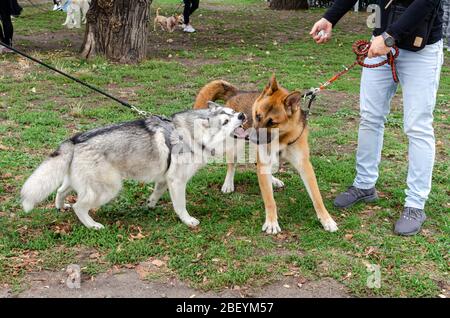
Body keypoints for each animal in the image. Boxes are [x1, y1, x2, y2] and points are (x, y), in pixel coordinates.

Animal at [21, 103, 246, 230]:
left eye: (233, 112)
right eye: (225, 122)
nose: (242, 115)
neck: (191, 134)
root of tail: (74, 139)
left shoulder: (165, 179)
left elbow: (156, 193)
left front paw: (150, 205)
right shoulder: (177, 181)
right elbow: (180, 206)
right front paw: (188, 221)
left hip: (77, 182)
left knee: (60, 191)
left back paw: (61, 207)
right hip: (109, 188)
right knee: (79, 206)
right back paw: (92, 225)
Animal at [193, 74, 338, 234]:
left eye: (272, 123)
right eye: (257, 116)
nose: (250, 137)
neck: (281, 138)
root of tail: (237, 92)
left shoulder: (304, 165)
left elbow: (317, 197)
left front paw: (326, 220)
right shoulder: (263, 161)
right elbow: (269, 199)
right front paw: (271, 222)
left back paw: (273, 180)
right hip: (234, 146)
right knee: (232, 165)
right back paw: (228, 184)